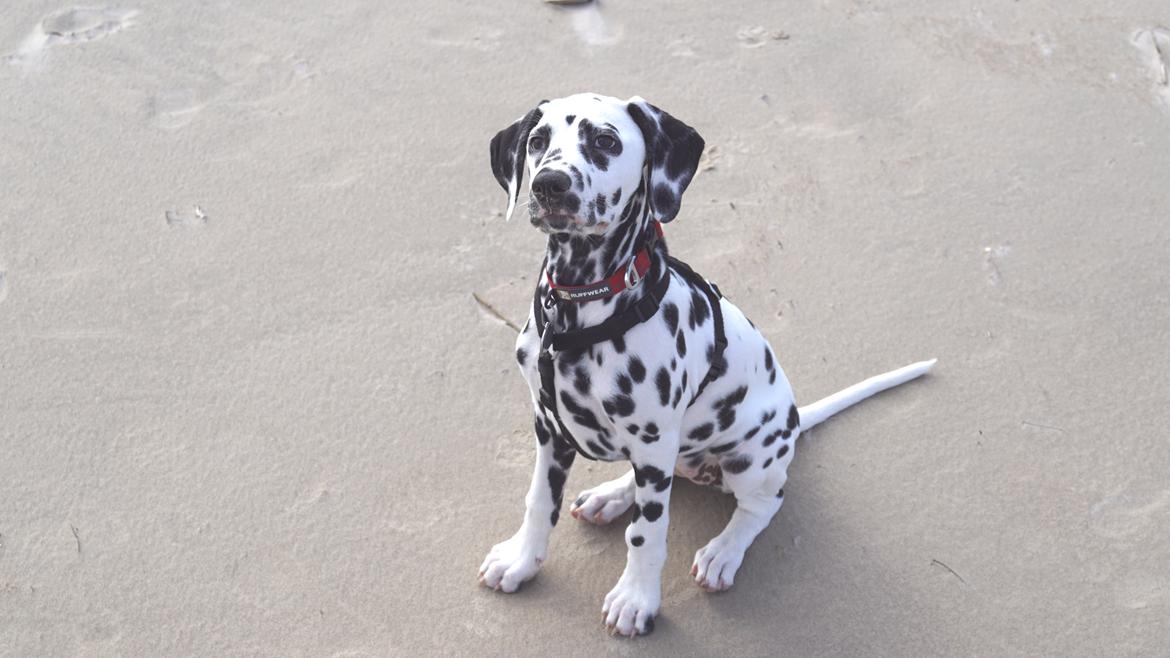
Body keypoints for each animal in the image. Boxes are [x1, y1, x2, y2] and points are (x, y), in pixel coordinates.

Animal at [475, 93, 931, 636]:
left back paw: (722, 553)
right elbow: (539, 501)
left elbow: (647, 532)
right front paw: (522, 560)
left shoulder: (652, 438)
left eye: (605, 141)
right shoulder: (549, 427)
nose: (549, 184)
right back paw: (610, 496)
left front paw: (636, 599)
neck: (582, 308)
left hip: (747, 460)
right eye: (538, 141)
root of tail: (795, 418)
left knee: (763, 504)